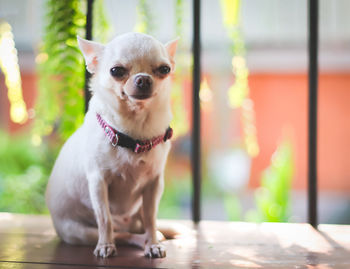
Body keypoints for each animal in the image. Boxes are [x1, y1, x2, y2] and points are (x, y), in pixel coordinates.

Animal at [45, 32, 178, 256]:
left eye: (164, 69)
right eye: (116, 71)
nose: (143, 78)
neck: (133, 133)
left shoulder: (153, 185)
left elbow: (151, 218)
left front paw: (153, 245)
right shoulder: (98, 182)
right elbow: (104, 218)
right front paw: (105, 245)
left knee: (142, 224)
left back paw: (156, 235)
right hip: (79, 232)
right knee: (121, 234)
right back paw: (127, 241)